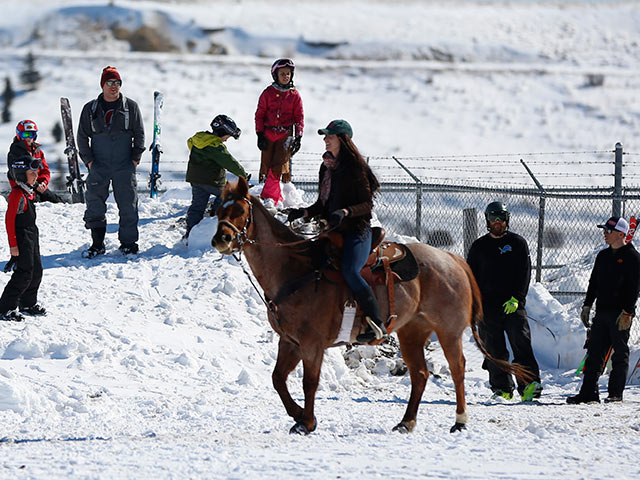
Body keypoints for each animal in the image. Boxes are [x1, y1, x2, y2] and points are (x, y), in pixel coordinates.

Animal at [212, 177, 528, 436]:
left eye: (239, 210)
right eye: (218, 210)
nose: (221, 239)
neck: (296, 270)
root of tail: (453, 259)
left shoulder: (312, 344)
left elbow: (310, 382)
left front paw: (307, 422)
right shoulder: (289, 341)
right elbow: (278, 379)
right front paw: (298, 414)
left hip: (448, 331)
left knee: (457, 369)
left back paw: (460, 421)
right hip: (412, 333)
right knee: (420, 374)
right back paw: (406, 422)